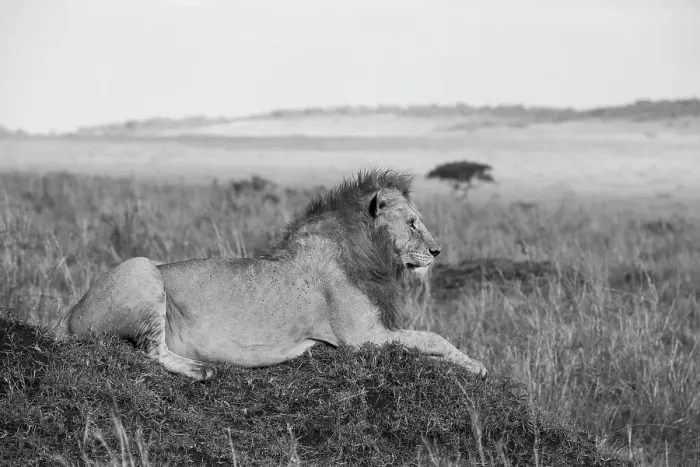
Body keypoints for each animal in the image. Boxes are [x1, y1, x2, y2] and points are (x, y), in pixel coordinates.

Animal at [64, 169, 487, 381]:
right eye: (413, 223)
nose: (437, 251)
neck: (367, 254)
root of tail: (68, 315)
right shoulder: (359, 337)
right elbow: (432, 338)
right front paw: (478, 367)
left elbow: (426, 340)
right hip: (141, 266)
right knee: (151, 349)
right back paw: (200, 370)